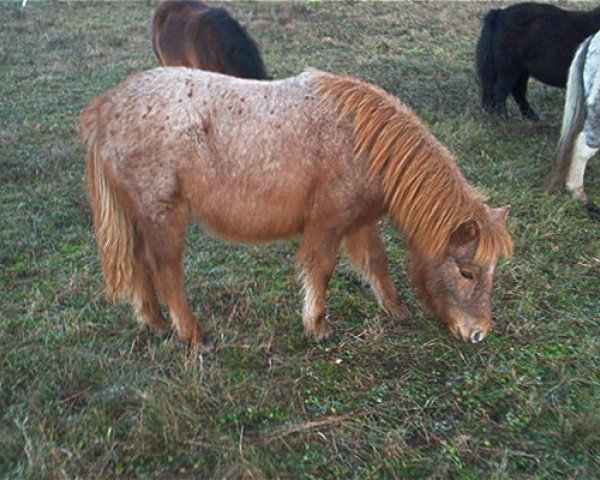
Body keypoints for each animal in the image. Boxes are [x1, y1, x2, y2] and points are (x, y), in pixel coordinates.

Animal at [82, 67, 512, 346]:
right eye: (467, 272)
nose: (478, 333)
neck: (365, 143)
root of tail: (106, 108)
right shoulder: (329, 222)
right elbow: (320, 269)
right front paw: (317, 326)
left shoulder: (359, 222)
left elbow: (377, 262)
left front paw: (395, 309)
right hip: (163, 214)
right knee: (165, 270)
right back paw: (192, 334)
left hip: (138, 217)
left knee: (139, 264)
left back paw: (155, 324)